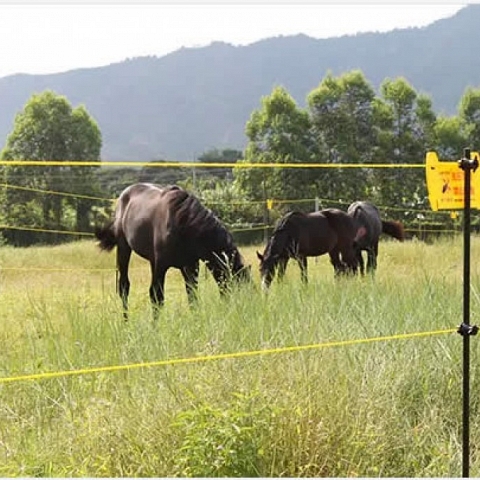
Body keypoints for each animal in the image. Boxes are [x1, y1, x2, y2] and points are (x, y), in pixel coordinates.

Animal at [94, 183, 251, 318]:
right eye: (240, 289)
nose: (241, 313)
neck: (183, 223)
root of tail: (124, 195)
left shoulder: (190, 266)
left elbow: (192, 297)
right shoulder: (161, 266)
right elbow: (157, 297)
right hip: (124, 249)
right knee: (124, 287)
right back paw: (126, 322)